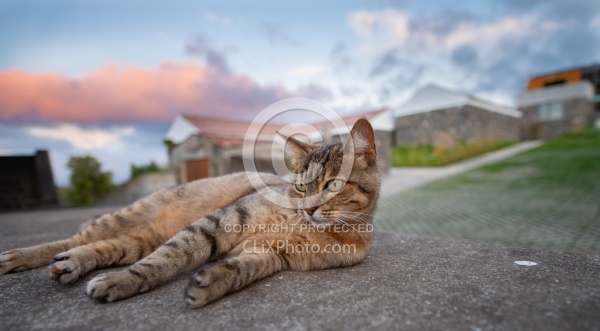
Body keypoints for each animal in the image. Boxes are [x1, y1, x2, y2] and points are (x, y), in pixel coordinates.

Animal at [0, 118, 380, 308]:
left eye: (334, 185)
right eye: (301, 187)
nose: (310, 207)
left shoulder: (269, 253)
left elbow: (241, 270)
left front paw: (212, 283)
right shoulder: (222, 222)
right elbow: (168, 258)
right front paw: (124, 281)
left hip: (138, 240)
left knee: (102, 246)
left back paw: (71, 264)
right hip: (129, 216)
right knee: (76, 237)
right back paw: (19, 257)